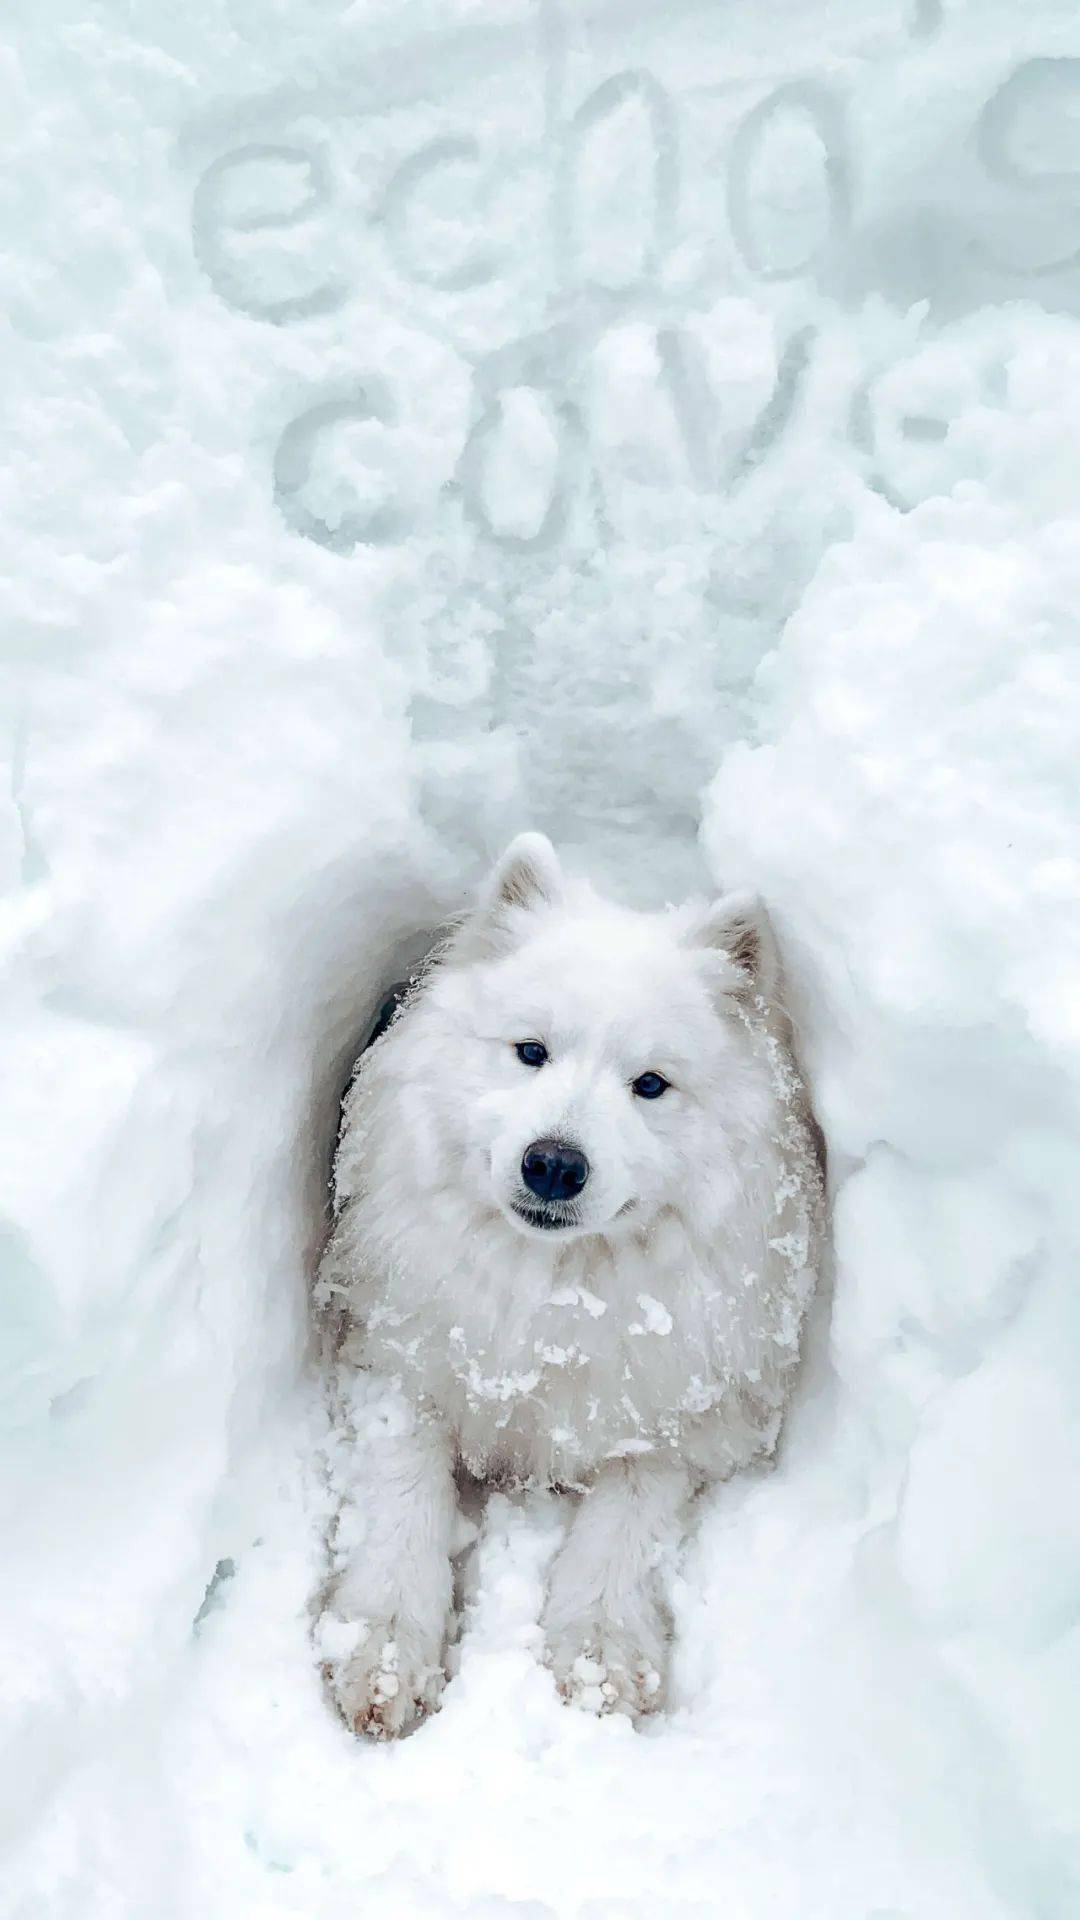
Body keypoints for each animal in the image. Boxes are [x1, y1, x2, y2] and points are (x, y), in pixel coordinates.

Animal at [315, 840, 818, 1743]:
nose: (553, 1163)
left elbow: (623, 1523)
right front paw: (384, 1647)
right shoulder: (394, 1354)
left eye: (650, 1085)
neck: (555, 1294)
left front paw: (598, 1656)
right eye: (530, 1051)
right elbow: (405, 1492)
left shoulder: (676, 1414)